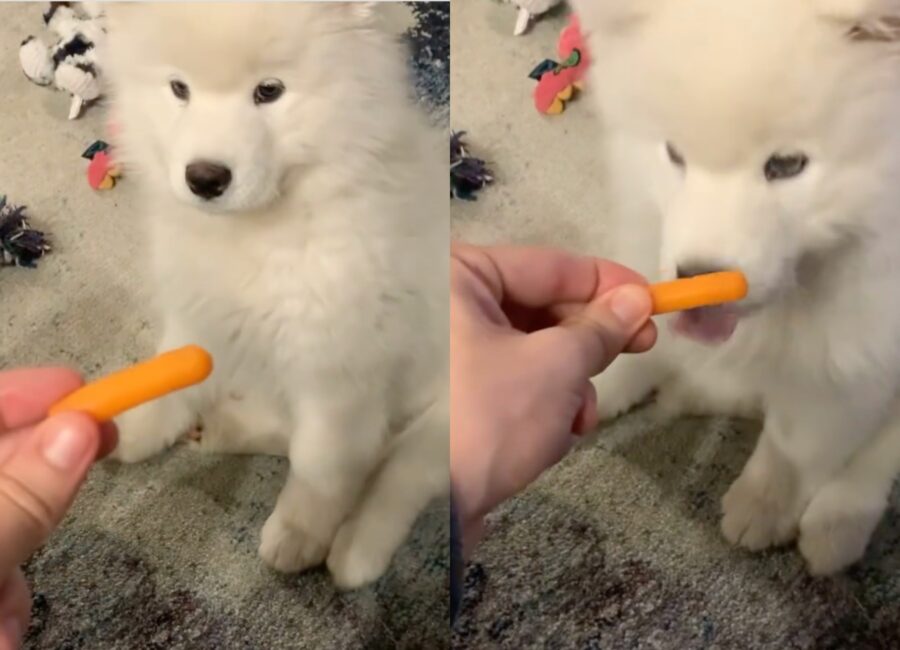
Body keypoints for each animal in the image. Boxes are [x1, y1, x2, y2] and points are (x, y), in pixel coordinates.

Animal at [101, 1, 446, 588]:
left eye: (269, 91)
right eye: (178, 88)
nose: (205, 178)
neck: (263, 229)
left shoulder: (340, 367)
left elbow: (320, 459)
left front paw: (299, 532)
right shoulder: (199, 307)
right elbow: (172, 367)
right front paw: (137, 422)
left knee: (401, 467)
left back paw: (355, 550)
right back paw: (220, 428)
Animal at [572, 0, 900, 568]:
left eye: (787, 165)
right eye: (673, 153)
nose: (698, 276)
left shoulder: (855, 354)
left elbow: (795, 438)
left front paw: (763, 502)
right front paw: (592, 383)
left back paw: (836, 525)